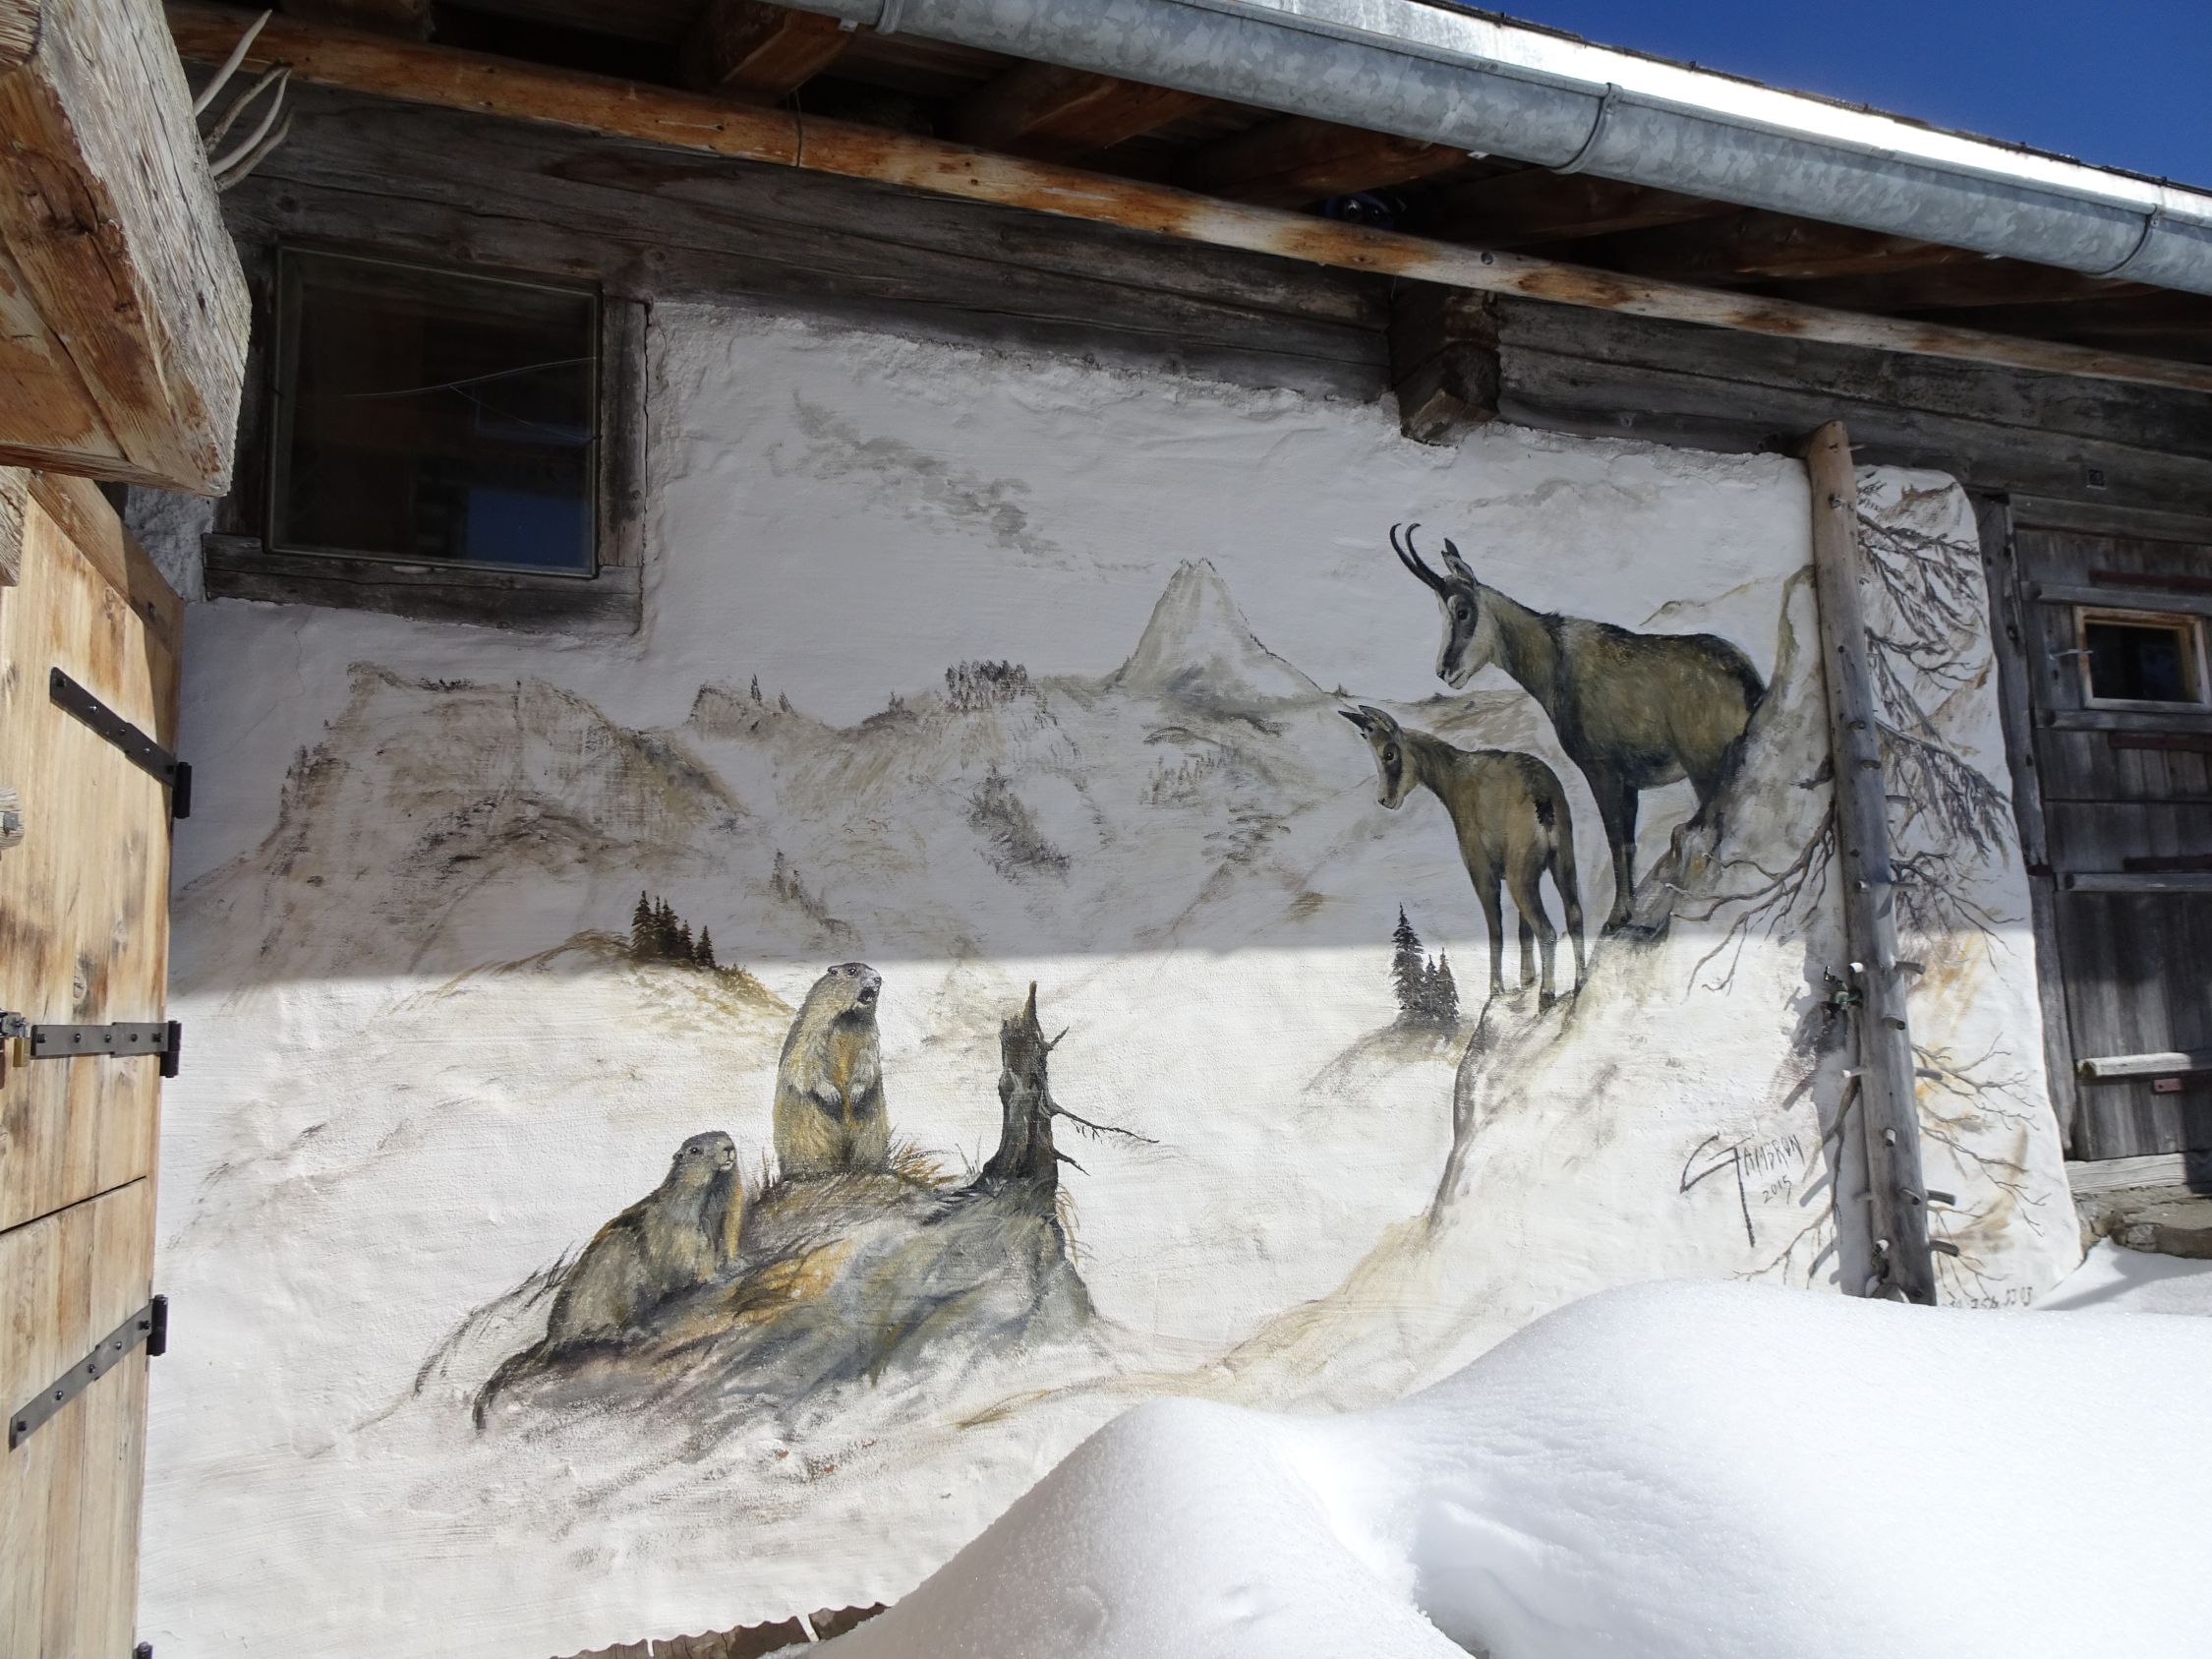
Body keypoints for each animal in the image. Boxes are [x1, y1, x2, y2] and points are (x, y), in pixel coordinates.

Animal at [1341, 705, 1584, 1010]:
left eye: (1389, 753)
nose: (1385, 800)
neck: (1456, 776)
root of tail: (1541, 795)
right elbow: (1522, 931)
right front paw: (1526, 981)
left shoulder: (1483, 872)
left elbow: (1496, 931)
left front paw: (1495, 991)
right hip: (1562, 862)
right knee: (1574, 916)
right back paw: (1579, 983)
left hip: (1521, 875)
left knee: (1547, 931)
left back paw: (1546, 996)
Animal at [1390, 524, 1765, 935]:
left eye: (1462, 611)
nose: (1445, 671)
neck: (1557, 661)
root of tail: (1746, 676)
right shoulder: (1628, 782)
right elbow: (1626, 842)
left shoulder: (1602, 771)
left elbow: (1616, 841)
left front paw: (1618, 916)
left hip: (1703, 765)